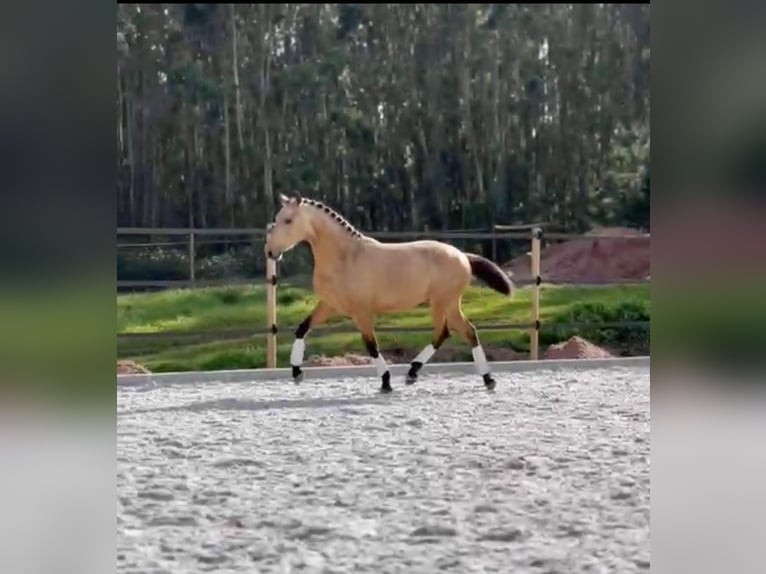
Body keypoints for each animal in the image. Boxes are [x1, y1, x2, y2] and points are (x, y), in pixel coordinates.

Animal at [266, 196, 516, 394]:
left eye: (288, 220)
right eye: (277, 219)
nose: (270, 252)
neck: (345, 257)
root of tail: (463, 256)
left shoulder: (361, 312)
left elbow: (372, 345)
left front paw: (386, 382)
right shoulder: (329, 305)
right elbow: (302, 328)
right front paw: (296, 372)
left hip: (443, 302)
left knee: (452, 332)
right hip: (449, 304)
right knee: (459, 332)